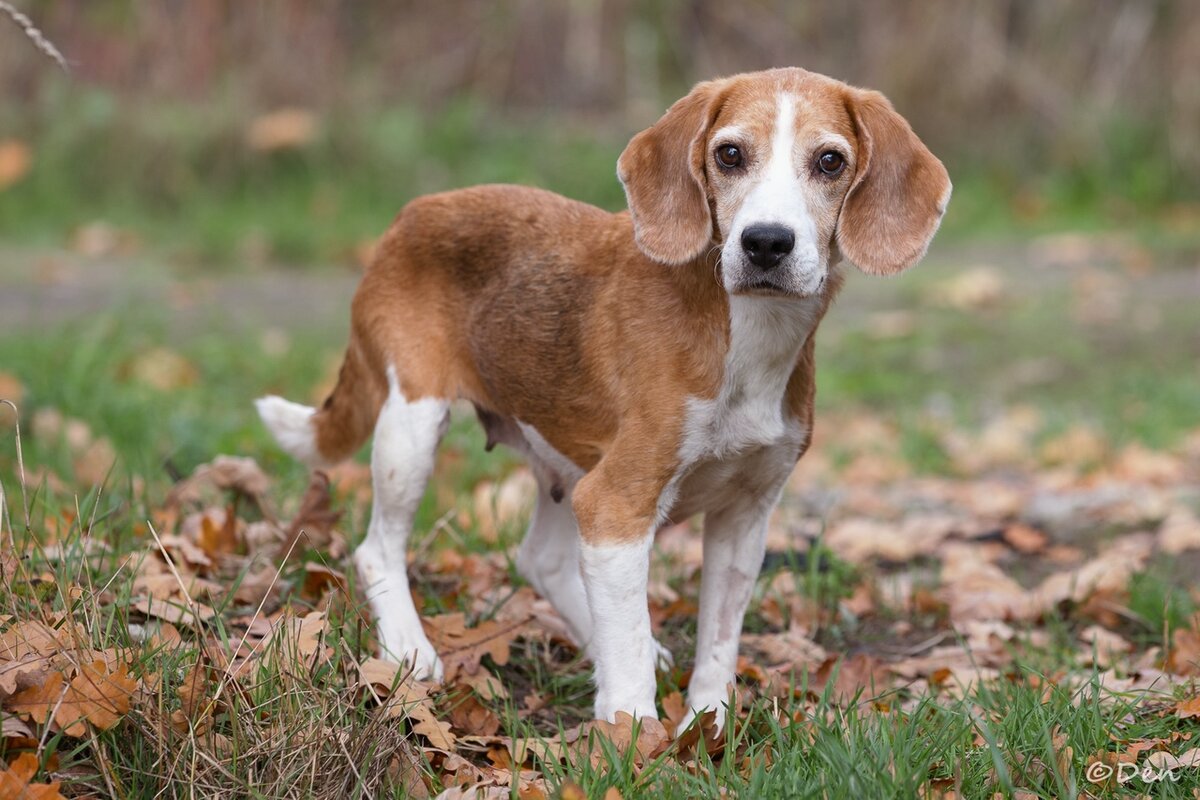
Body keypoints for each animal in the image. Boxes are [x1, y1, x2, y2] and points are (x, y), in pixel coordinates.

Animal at [258, 68, 950, 729]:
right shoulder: (617, 504)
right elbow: (627, 649)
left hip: (563, 464)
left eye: (830, 161)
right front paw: (631, 734)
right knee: (378, 548)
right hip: (414, 427)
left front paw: (707, 725)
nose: (766, 242)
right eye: (729, 154)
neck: (746, 333)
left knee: (541, 560)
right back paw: (408, 647)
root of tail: (412, 213)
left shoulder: (744, 516)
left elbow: (717, 645)